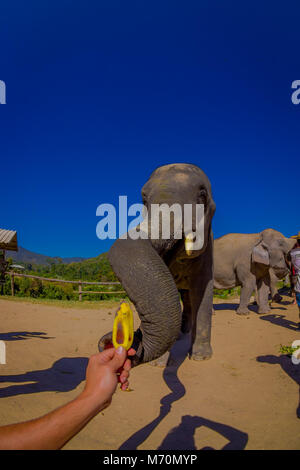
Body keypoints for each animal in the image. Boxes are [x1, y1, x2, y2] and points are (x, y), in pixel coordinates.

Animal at [100, 164, 216, 368]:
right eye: (144, 200)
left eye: (202, 195)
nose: (109, 342)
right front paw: (158, 364)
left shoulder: (208, 251)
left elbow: (203, 291)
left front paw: (201, 357)